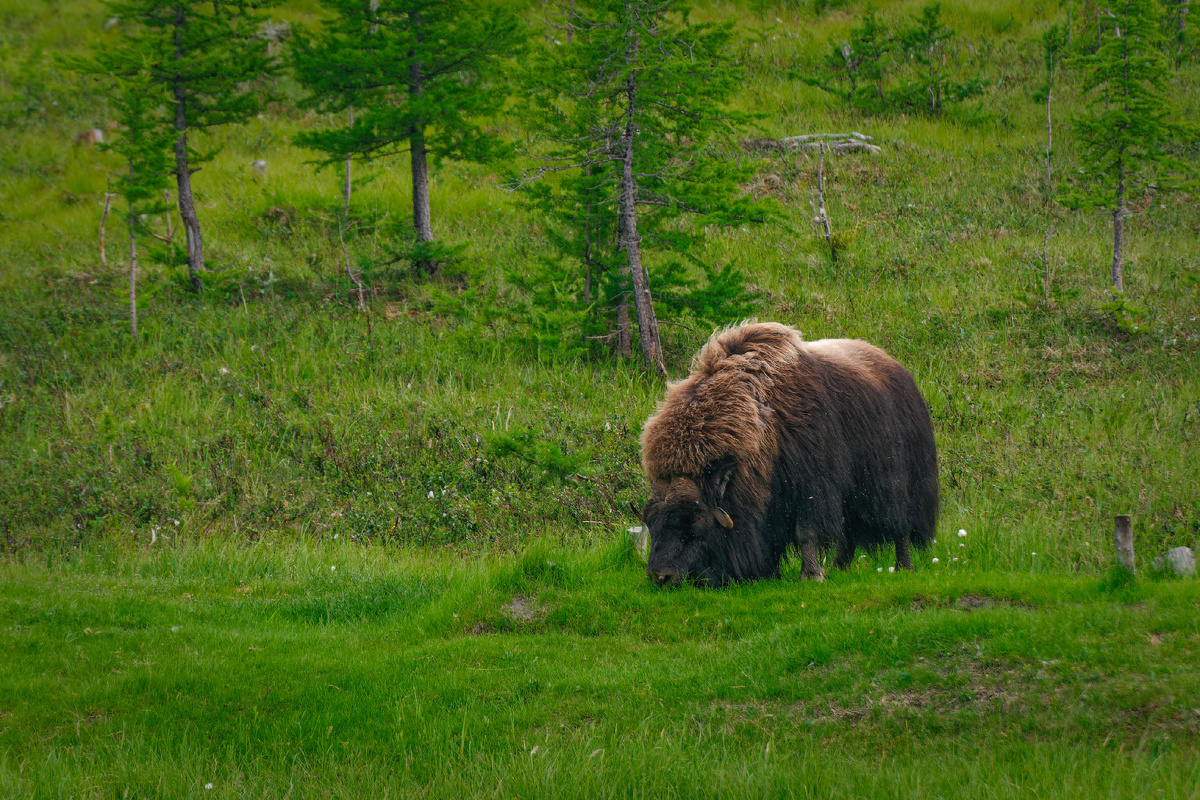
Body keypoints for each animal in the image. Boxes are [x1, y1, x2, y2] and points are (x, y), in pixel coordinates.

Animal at [638, 322, 938, 586]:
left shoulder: (812, 486)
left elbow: (806, 531)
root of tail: (899, 370)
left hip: (892, 481)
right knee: (848, 533)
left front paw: (811, 576)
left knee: (898, 524)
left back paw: (903, 567)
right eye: (651, 522)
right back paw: (839, 568)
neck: (763, 421)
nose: (660, 577)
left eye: (695, 525)